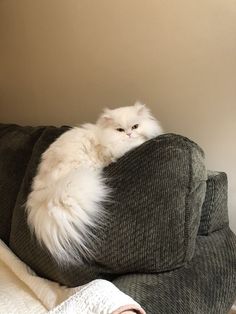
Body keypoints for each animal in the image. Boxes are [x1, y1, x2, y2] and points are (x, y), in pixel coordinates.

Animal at [25, 102, 162, 264]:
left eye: (135, 127)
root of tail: (44, 191)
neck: (103, 135)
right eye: (120, 130)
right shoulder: (117, 149)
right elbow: (135, 143)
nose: (129, 134)